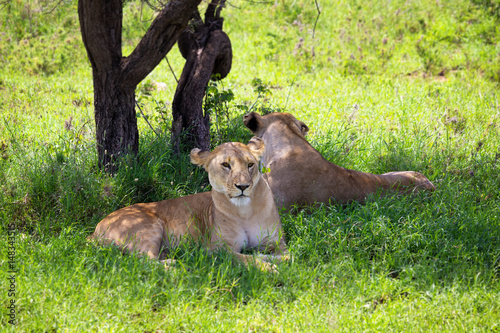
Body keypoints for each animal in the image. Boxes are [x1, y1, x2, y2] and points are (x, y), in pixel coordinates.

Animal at [88, 136, 288, 268]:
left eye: (250, 164)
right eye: (226, 165)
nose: (243, 186)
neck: (245, 211)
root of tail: (96, 228)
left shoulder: (276, 241)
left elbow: (286, 256)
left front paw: (271, 259)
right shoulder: (217, 249)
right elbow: (246, 258)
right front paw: (269, 268)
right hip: (147, 228)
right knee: (147, 261)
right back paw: (176, 264)